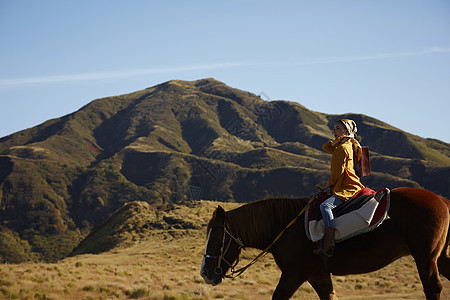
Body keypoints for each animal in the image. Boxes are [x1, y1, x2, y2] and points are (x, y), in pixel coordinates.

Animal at [200, 188, 450, 300]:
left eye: (216, 237)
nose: (205, 273)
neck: (286, 227)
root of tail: (442, 199)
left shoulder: (294, 274)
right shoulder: (318, 275)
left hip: (425, 258)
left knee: (433, 288)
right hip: (440, 258)